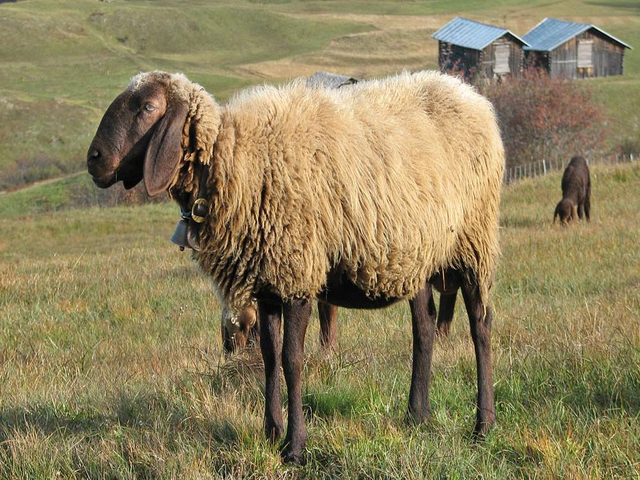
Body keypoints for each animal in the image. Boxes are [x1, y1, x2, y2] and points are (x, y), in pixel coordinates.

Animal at [87, 70, 504, 463]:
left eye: (147, 107)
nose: (93, 159)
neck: (236, 158)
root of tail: (471, 95)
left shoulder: (296, 273)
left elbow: (291, 360)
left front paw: (295, 447)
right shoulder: (267, 284)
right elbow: (270, 358)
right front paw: (270, 434)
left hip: (474, 239)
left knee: (480, 326)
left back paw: (483, 424)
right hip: (417, 254)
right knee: (425, 328)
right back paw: (416, 415)